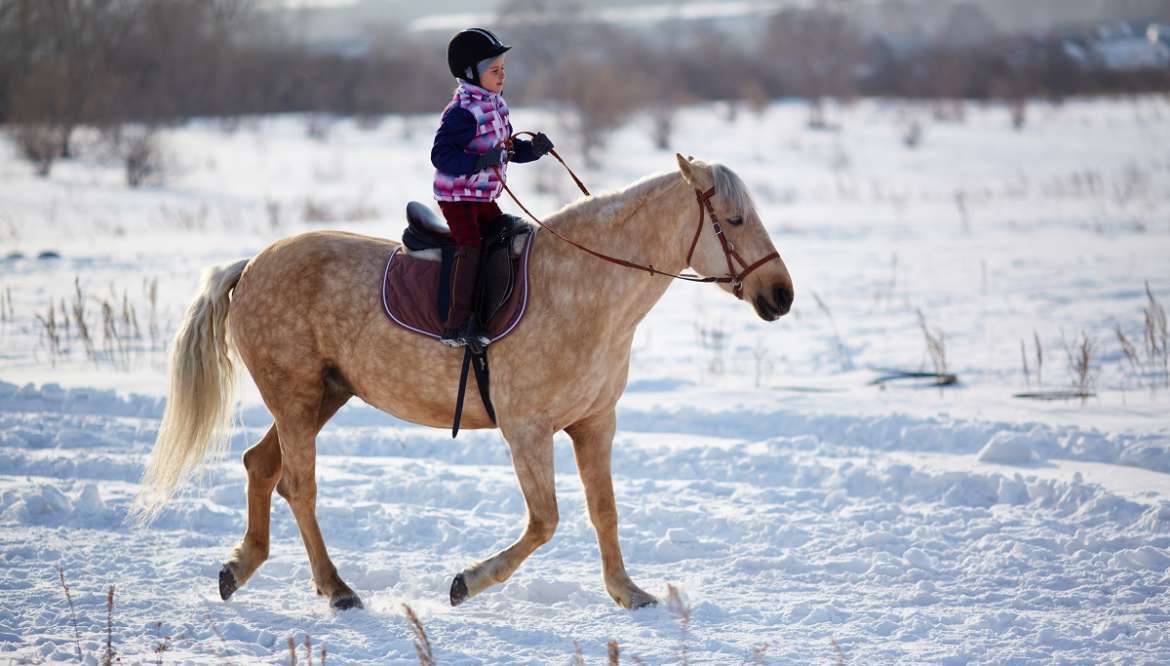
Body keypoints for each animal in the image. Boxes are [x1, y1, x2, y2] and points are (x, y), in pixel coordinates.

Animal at [136, 153, 795, 608]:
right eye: (734, 219)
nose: (780, 295)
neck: (584, 289)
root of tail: (249, 266)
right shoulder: (527, 430)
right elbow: (545, 521)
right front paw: (467, 583)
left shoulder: (593, 423)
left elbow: (603, 510)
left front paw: (628, 593)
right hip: (297, 400)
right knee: (298, 486)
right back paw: (337, 588)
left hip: (320, 397)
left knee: (260, 466)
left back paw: (240, 567)